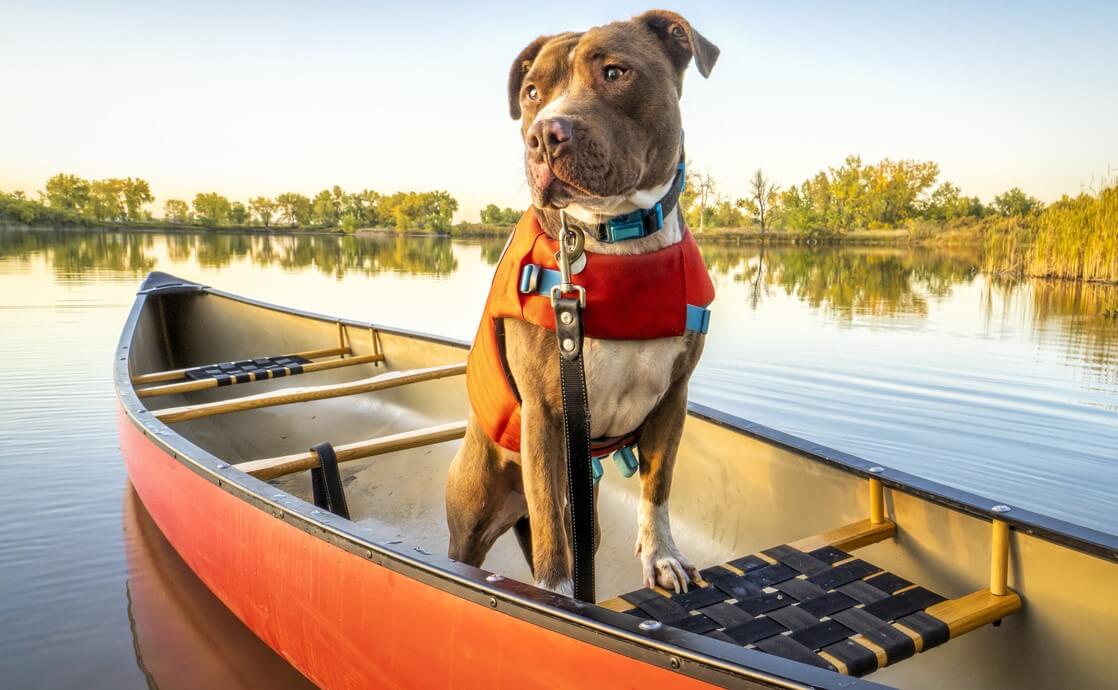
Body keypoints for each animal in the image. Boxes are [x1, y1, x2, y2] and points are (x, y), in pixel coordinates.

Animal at [442, 8, 715, 594]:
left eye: (615, 72)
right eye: (531, 92)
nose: (544, 134)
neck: (616, 235)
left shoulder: (673, 397)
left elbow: (658, 487)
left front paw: (661, 555)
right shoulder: (545, 413)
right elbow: (550, 527)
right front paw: (557, 599)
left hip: (586, 513)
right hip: (473, 515)